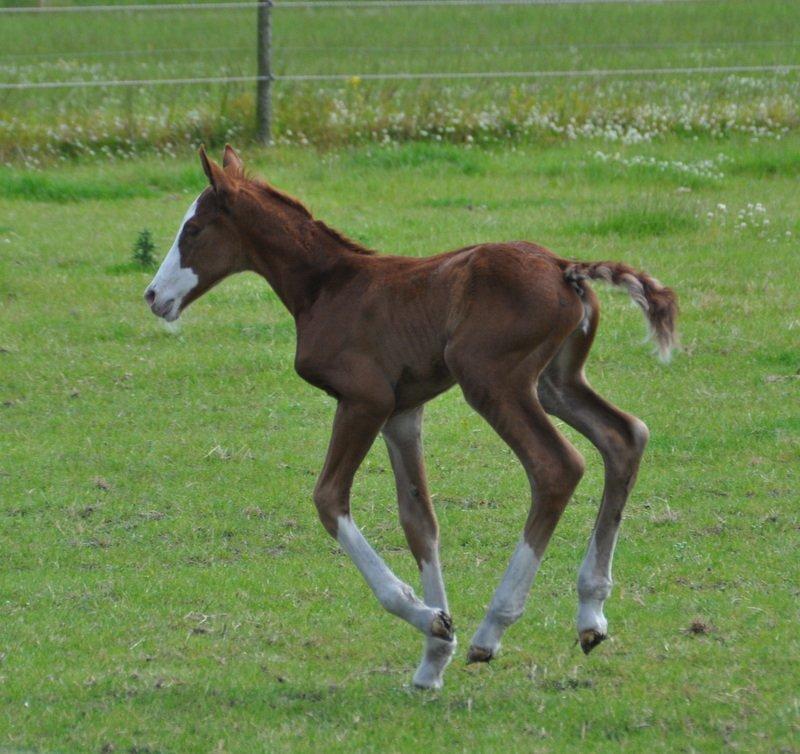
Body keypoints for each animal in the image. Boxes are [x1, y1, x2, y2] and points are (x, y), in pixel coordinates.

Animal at [144, 147, 676, 688]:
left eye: (193, 229)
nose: (153, 296)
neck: (327, 287)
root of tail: (565, 268)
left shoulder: (365, 400)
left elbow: (328, 498)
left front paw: (427, 618)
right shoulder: (402, 413)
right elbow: (419, 519)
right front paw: (434, 655)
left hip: (490, 378)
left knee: (556, 466)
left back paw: (493, 629)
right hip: (555, 383)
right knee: (624, 436)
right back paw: (590, 615)